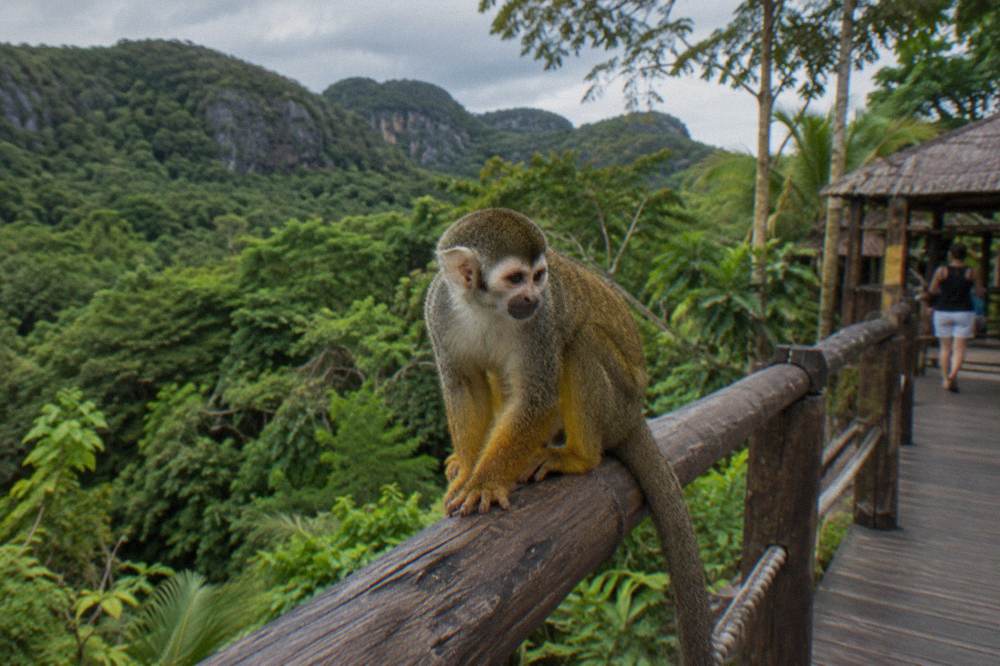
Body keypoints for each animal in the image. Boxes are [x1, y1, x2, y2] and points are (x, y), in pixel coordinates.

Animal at [424, 208, 713, 665]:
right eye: (515, 279)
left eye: (539, 276)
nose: (535, 298)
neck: (485, 308)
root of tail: (635, 414)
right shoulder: (440, 309)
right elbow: (463, 384)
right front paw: (469, 468)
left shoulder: (539, 326)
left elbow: (537, 398)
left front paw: (485, 481)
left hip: (617, 401)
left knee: (579, 342)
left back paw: (578, 456)